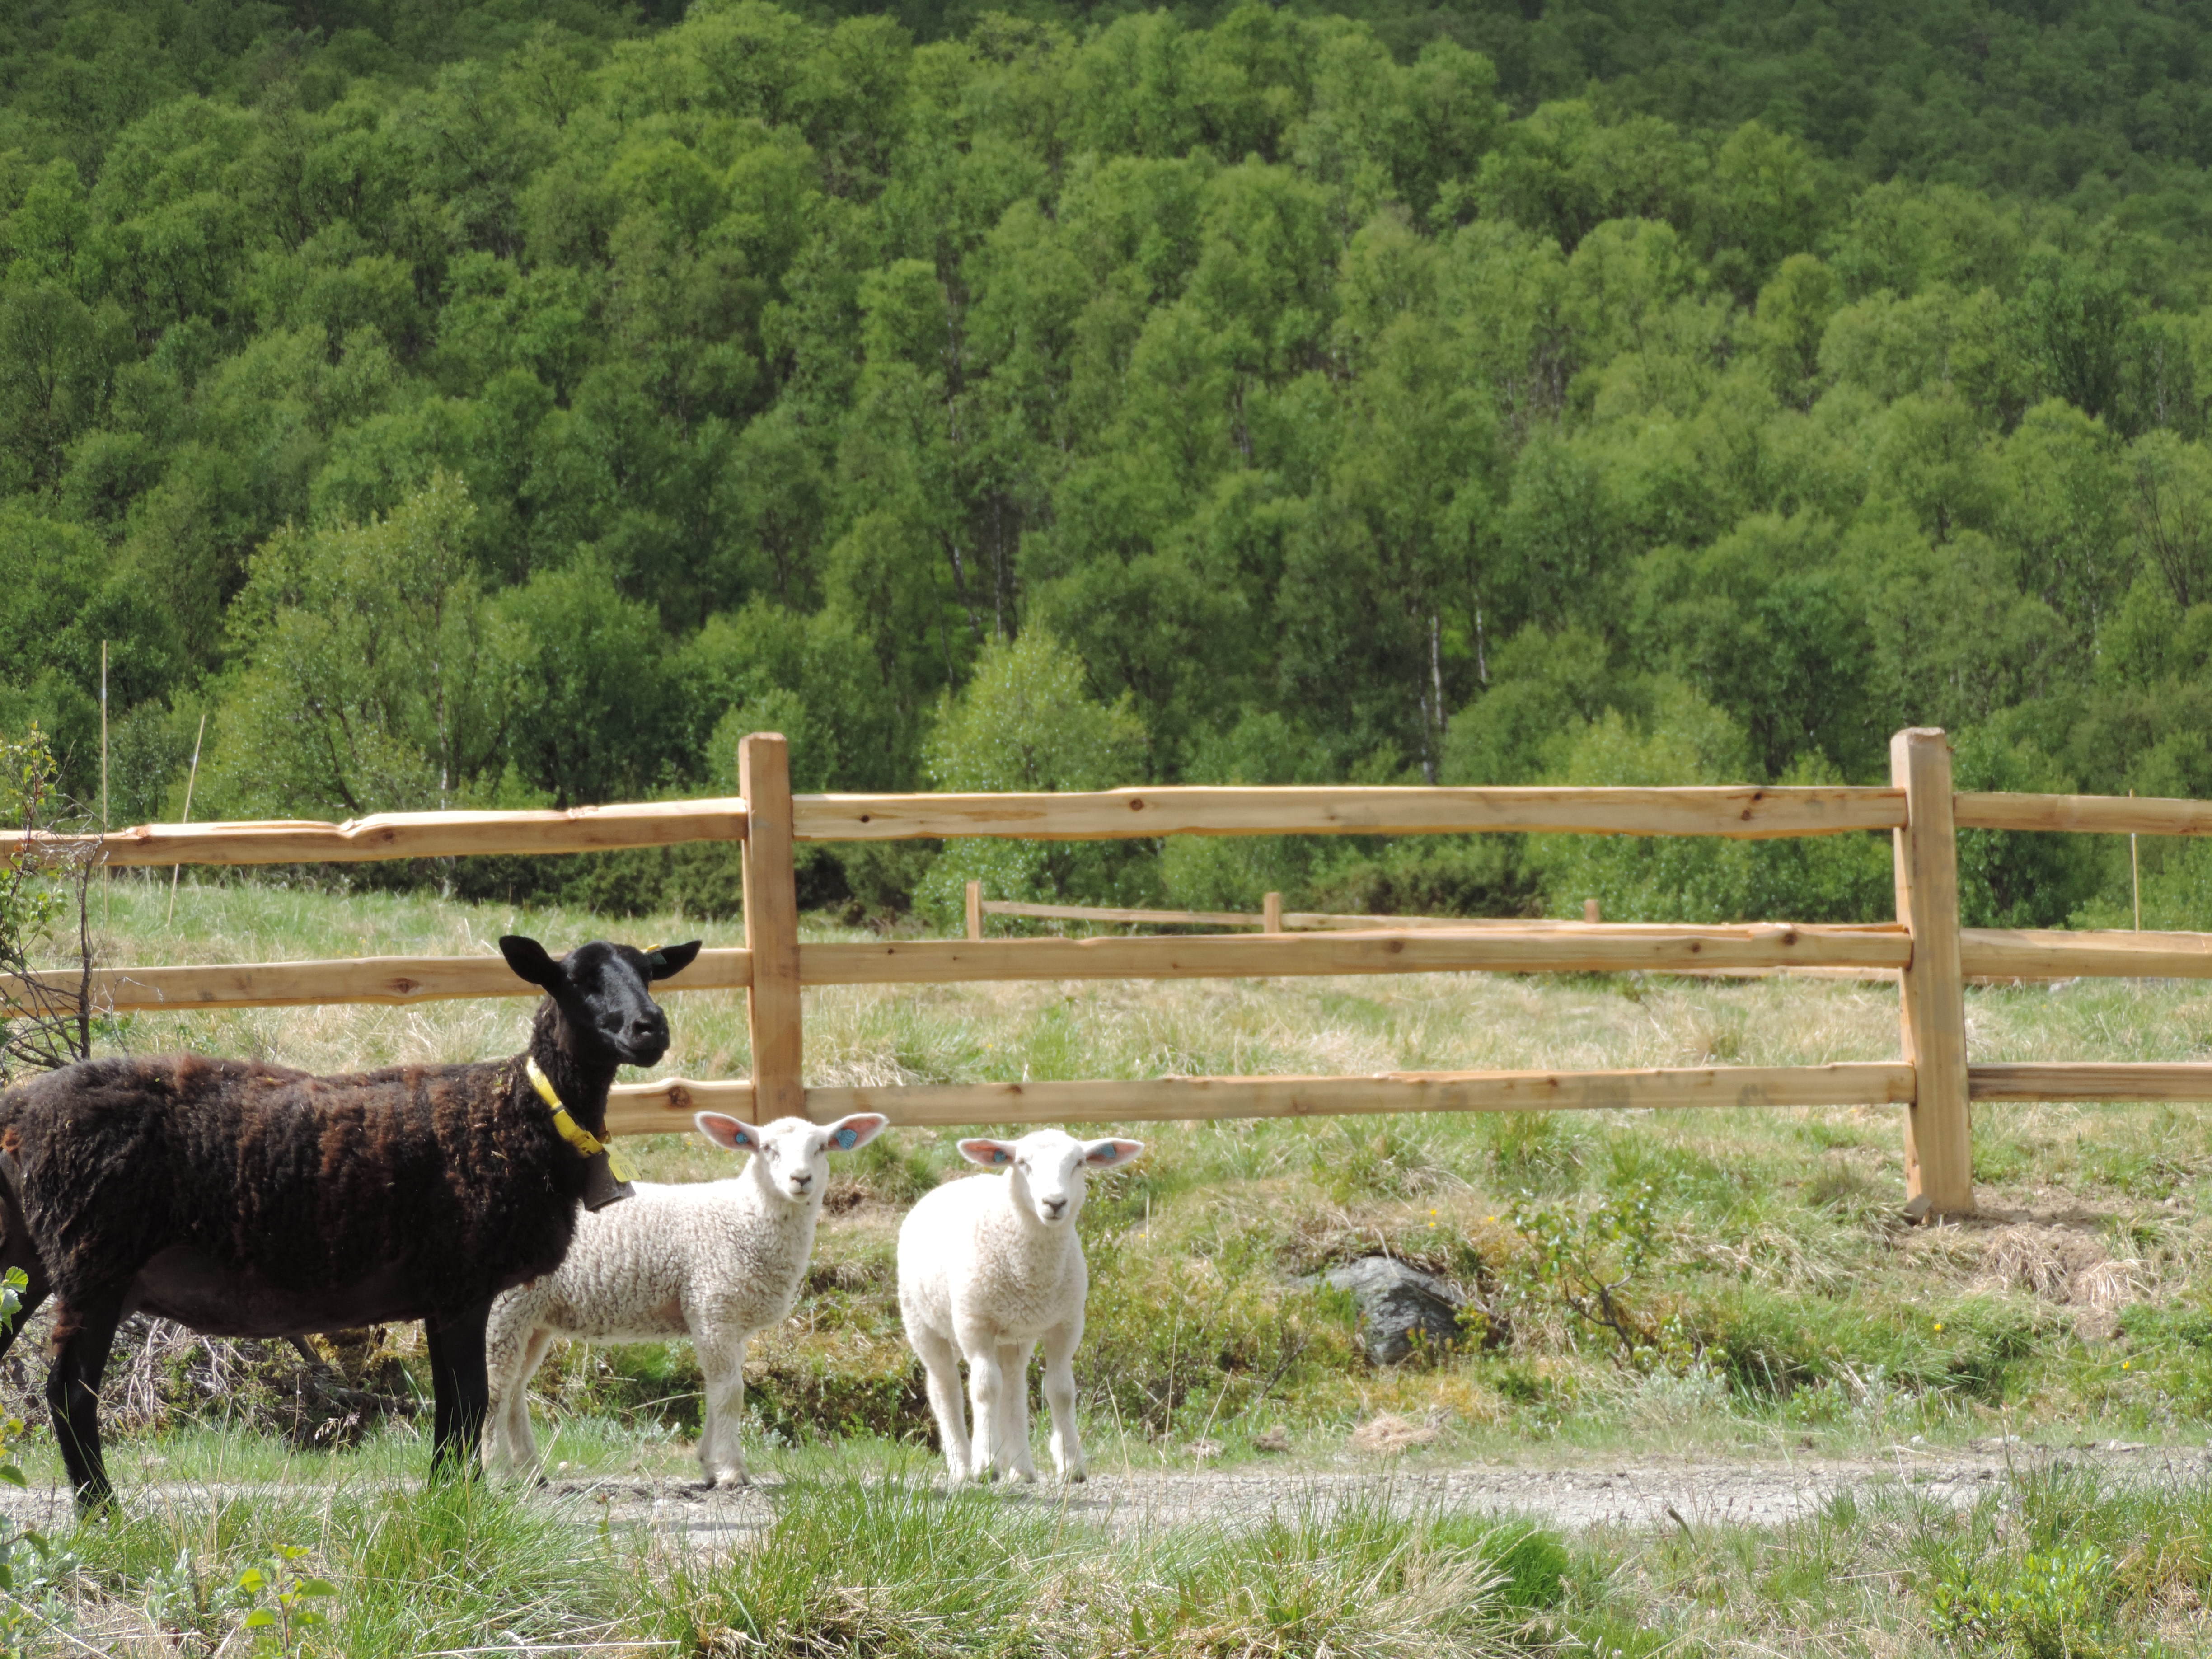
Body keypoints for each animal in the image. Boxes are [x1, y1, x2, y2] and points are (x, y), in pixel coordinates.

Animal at [0, 933, 699, 1509]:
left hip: (31, 1259)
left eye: (650, 973)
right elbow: (470, 1400)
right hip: (93, 1256)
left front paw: (444, 1494)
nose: (651, 1029)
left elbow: (451, 1404)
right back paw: (102, 1512)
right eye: (575, 979)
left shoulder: (441, 1292)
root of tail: (20, 1108)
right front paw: (461, 1503)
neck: (523, 1114)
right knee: (69, 1392)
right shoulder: (463, 1281)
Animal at [483, 1107, 889, 1488]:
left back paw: (530, 1471)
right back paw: (498, 1472)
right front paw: (731, 1471)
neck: (743, 1217)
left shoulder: (729, 1321)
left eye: (821, 1147)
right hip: (502, 1308)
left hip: (534, 1316)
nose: (801, 1179)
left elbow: (716, 1390)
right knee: (496, 1388)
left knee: (515, 1388)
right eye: (767, 1149)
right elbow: (730, 1393)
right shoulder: (713, 1306)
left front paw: (710, 1463)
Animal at [897, 1128, 1143, 1485]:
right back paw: (963, 1466)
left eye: (1079, 1163)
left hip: (1015, 1335)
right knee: (945, 1386)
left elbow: (1060, 1390)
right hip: (922, 1320)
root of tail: (954, 1183)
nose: (1055, 1203)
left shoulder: (1066, 1323)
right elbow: (985, 1388)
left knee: (1013, 1386)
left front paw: (1072, 1465)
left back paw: (1021, 1469)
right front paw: (986, 1464)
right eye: (1023, 1163)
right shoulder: (974, 1323)